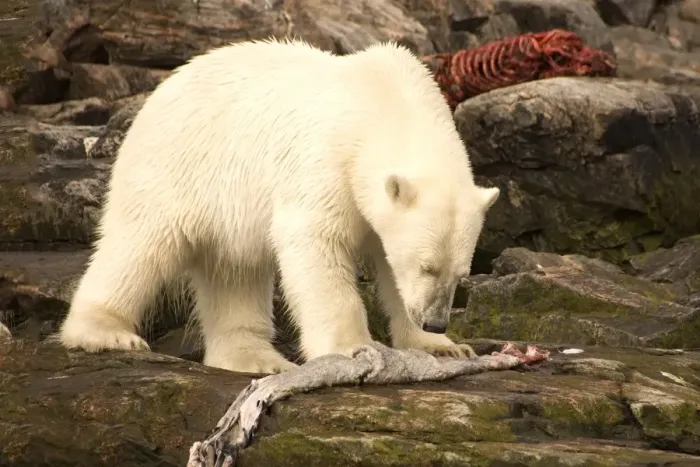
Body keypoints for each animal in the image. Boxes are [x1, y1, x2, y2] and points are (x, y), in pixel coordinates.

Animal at [58, 38, 500, 374]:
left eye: (461, 273)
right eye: (427, 266)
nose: (436, 321)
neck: (386, 102)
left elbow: (388, 264)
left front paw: (442, 346)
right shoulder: (328, 162)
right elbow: (315, 243)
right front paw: (353, 348)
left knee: (234, 270)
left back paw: (256, 359)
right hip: (176, 167)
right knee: (141, 245)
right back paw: (105, 332)